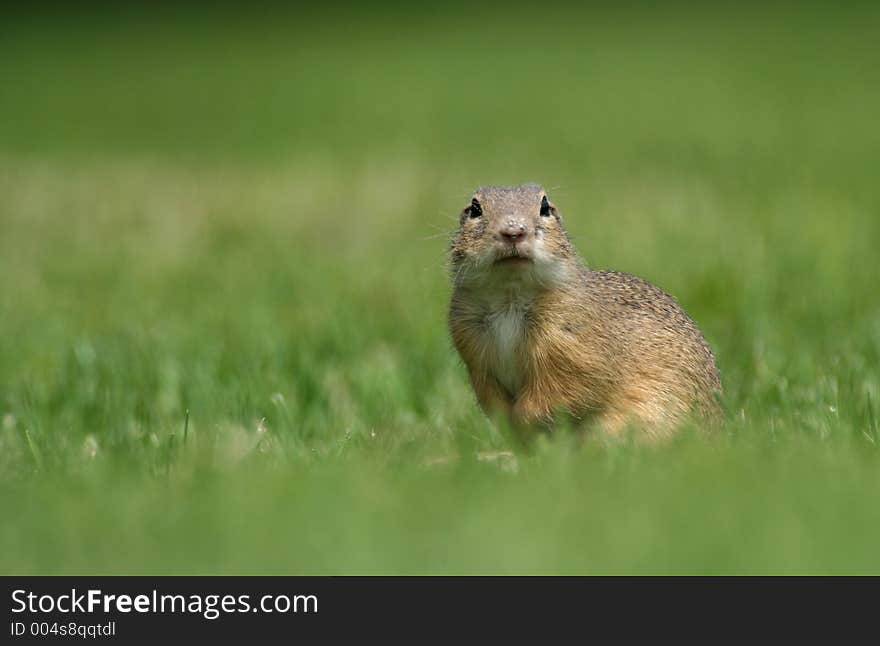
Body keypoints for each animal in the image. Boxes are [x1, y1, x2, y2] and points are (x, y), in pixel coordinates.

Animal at [446, 182, 720, 438]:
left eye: (544, 206)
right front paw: (508, 425)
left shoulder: (575, 347)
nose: (513, 231)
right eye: (475, 208)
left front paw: (523, 419)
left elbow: (565, 389)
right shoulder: (471, 345)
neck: (509, 297)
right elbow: (490, 393)